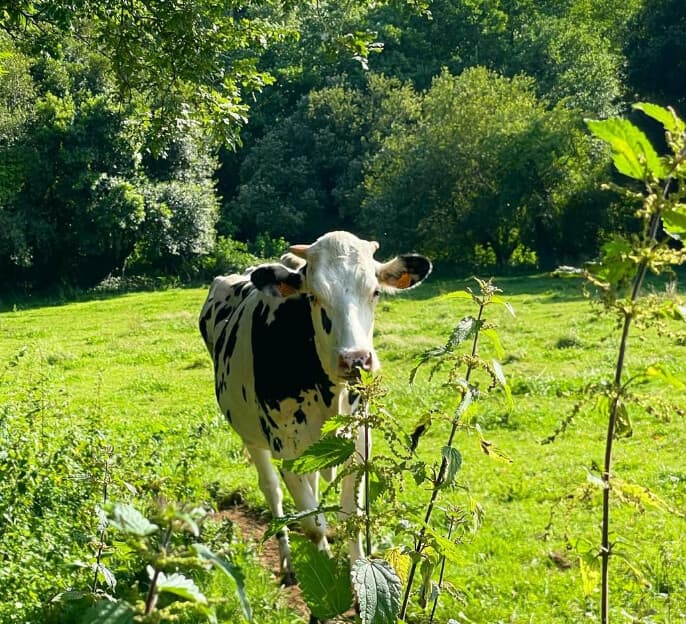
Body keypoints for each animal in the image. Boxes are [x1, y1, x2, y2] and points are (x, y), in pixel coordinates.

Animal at [198, 230, 430, 584]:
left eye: (375, 291)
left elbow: (351, 517)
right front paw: (321, 563)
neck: (329, 394)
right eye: (314, 296)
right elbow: (312, 523)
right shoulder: (287, 450)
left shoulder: (359, 443)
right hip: (253, 438)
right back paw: (288, 563)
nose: (356, 359)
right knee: (273, 492)